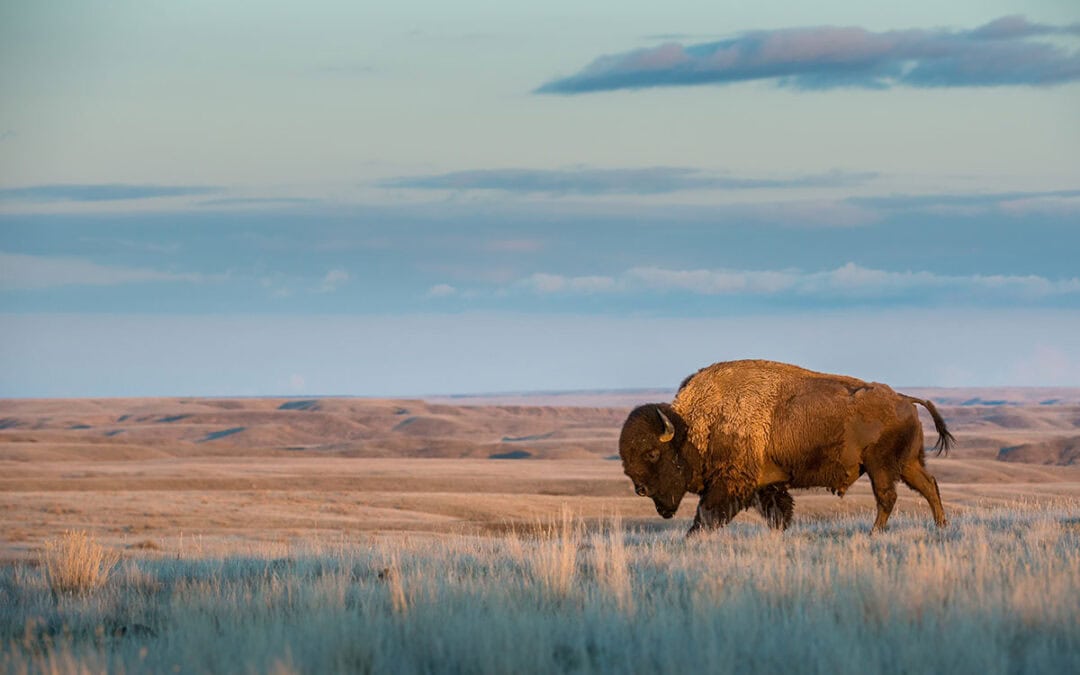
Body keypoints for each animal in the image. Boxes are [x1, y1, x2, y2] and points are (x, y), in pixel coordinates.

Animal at [617, 360, 954, 533]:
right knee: (928, 486)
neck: (695, 427)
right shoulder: (767, 485)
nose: (640, 490)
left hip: (880, 466)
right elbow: (778, 513)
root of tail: (904, 399)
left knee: (888, 497)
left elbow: (707, 515)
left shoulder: (731, 484)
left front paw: (692, 537)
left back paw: (875, 533)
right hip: (907, 463)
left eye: (652, 453)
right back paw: (940, 526)